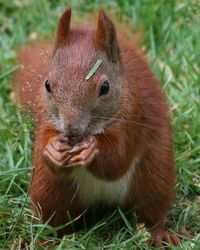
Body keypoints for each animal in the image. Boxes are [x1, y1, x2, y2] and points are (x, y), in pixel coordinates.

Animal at [14, 7, 183, 246]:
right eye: (47, 85)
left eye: (105, 87)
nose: (71, 129)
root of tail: (102, 200)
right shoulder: (46, 120)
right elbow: (46, 144)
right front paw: (52, 150)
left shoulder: (133, 115)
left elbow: (118, 159)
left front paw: (92, 150)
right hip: (48, 189)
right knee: (54, 217)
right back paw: (46, 240)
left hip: (155, 176)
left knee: (152, 211)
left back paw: (159, 235)